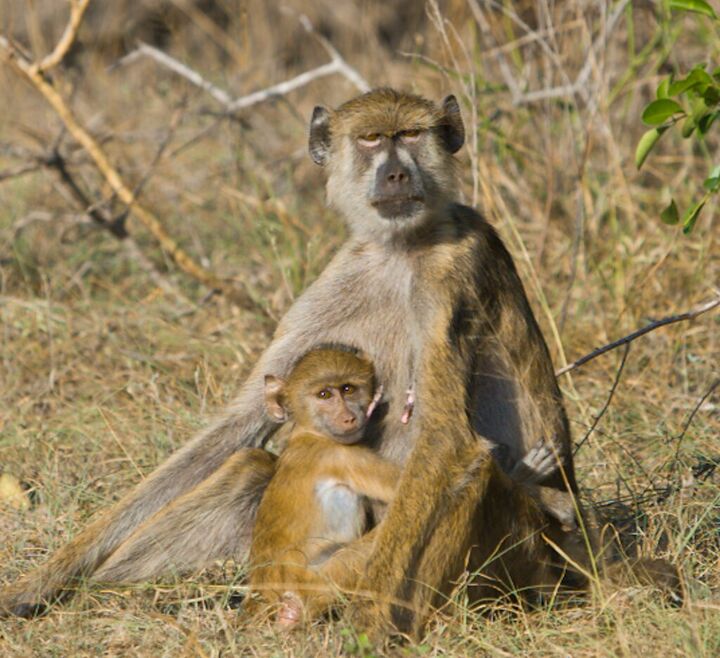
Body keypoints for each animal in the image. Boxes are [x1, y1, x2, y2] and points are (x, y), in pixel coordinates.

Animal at [247, 346, 401, 627]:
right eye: (324, 395)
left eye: (348, 389)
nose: (349, 418)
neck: (309, 432)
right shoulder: (342, 456)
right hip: (313, 583)